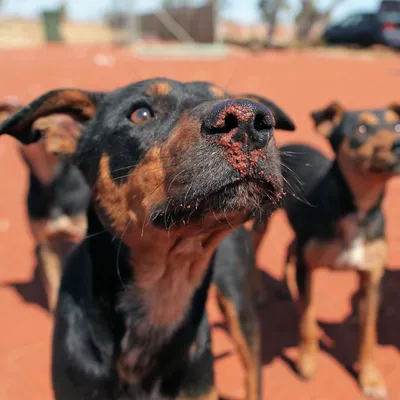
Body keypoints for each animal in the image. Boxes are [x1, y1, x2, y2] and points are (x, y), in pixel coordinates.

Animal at [253, 102, 400, 396]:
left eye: (398, 125)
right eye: (361, 129)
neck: (357, 210)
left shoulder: (372, 279)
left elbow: (368, 335)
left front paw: (370, 378)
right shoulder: (307, 268)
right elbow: (307, 320)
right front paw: (307, 363)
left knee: (289, 248)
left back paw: (285, 287)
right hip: (263, 222)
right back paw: (259, 292)